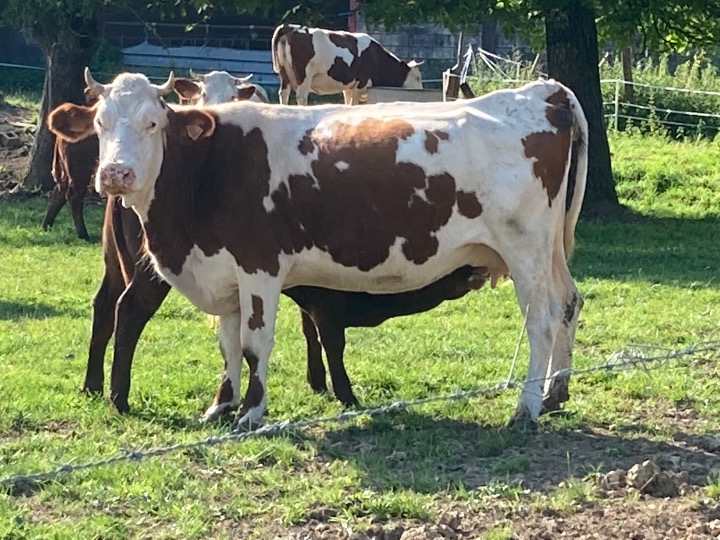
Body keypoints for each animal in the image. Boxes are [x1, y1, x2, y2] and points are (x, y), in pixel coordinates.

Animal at [50, 68, 588, 430]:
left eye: (152, 124)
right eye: (100, 124)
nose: (115, 173)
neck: (208, 168)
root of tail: (541, 91)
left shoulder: (260, 265)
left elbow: (254, 343)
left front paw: (251, 413)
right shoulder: (223, 272)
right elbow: (227, 344)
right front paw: (220, 406)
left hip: (525, 251)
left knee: (541, 320)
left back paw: (525, 408)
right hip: (550, 251)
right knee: (568, 302)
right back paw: (555, 393)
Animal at [272, 23, 424, 106]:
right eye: (418, 78)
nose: (421, 90)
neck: (375, 56)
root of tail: (292, 28)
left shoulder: (348, 87)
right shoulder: (360, 84)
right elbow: (353, 105)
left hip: (284, 74)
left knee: (284, 94)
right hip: (304, 77)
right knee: (301, 97)